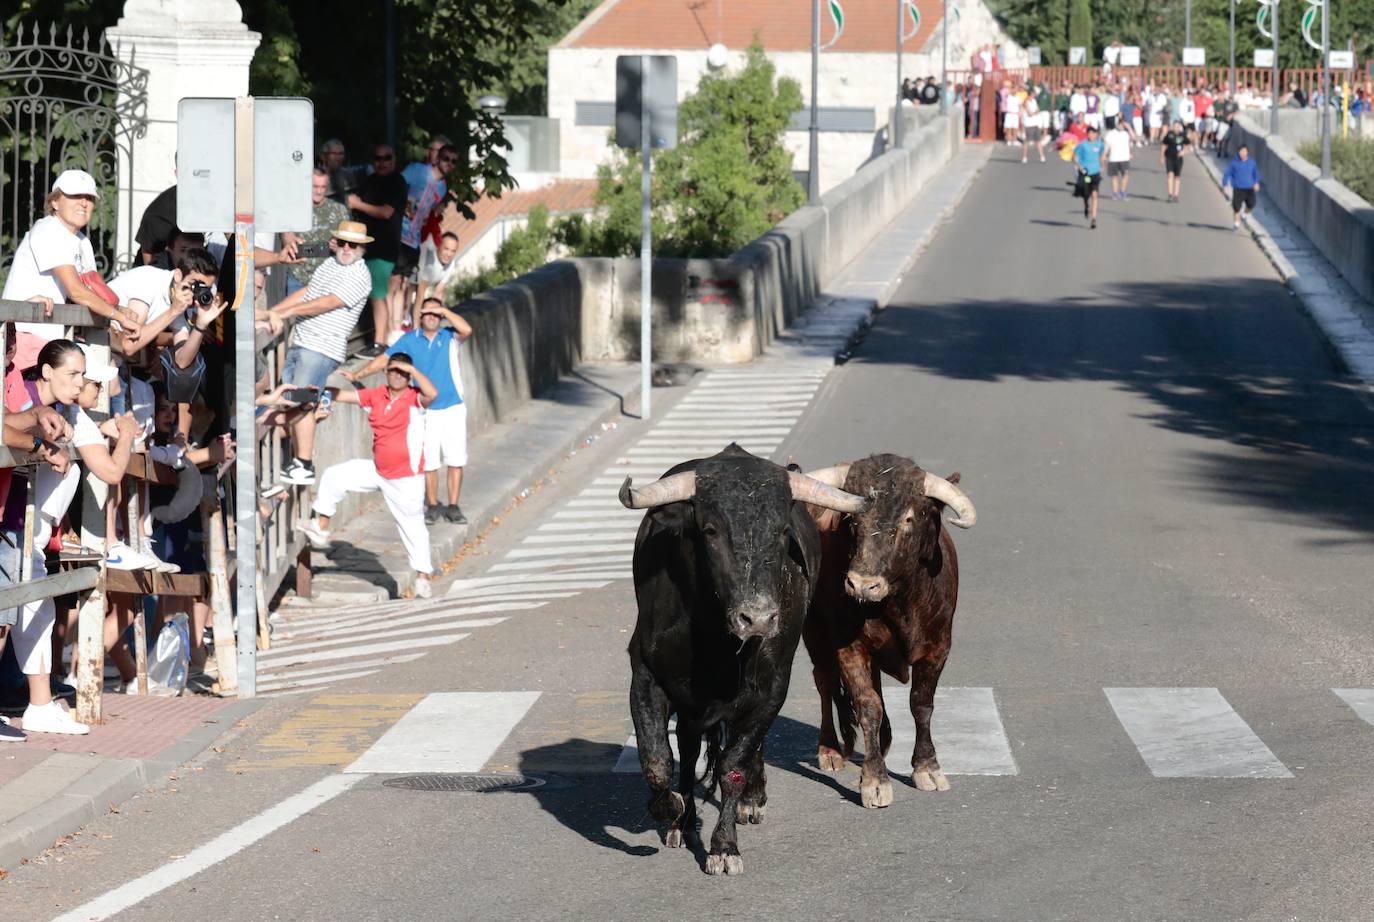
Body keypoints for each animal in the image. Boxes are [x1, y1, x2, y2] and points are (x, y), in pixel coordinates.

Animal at [621, 447, 857, 879]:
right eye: (711, 530)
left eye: (781, 531)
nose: (758, 618)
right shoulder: (645, 675)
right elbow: (657, 760)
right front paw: (673, 810)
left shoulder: (770, 692)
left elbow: (734, 766)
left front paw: (724, 847)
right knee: (688, 751)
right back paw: (683, 820)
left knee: (747, 751)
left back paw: (751, 800)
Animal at [796, 453, 978, 807]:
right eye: (852, 522)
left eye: (908, 518)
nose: (861, 584)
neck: (898, 602)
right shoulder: (848, 646)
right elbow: (867, 705)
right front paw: (875, 781)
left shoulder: (939, 647)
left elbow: (921, 702)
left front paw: (927, 767)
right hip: (814, 633)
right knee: (825, 682)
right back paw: (830, 750)